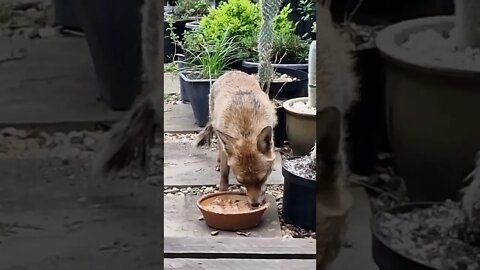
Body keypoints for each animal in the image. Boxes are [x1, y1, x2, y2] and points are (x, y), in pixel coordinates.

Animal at [195, 70, 278, 207]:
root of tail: (232, 71)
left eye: (263, 178)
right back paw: (218, 163)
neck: (245, 128)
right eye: (241, 181)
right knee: (219, 148)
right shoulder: (225, 150)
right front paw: (222, 194)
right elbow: (224, 175)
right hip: (218, 131)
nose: (255, 204)